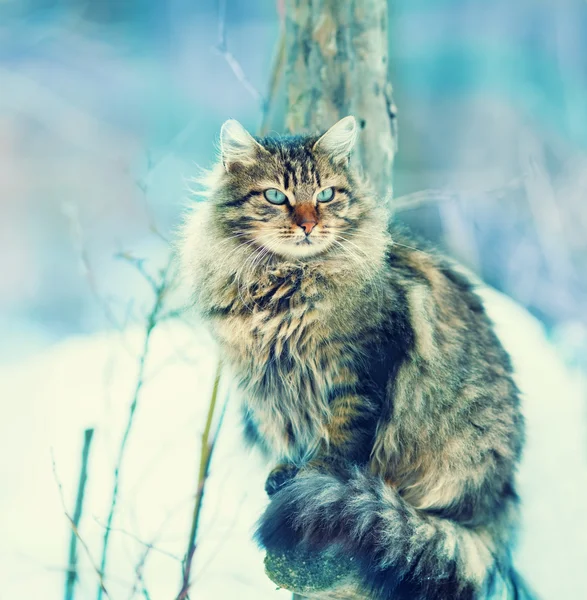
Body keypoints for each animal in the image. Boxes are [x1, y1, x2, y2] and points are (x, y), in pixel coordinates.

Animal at [179, 117, 528, 600]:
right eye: (275, 196)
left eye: (326, 194)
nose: (309, 225)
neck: (284, 286)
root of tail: (499, 502)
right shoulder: (271, 388)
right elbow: (293, 436)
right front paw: (286, 472)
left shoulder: (359, 371)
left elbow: (339, 442)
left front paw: (313, 476)